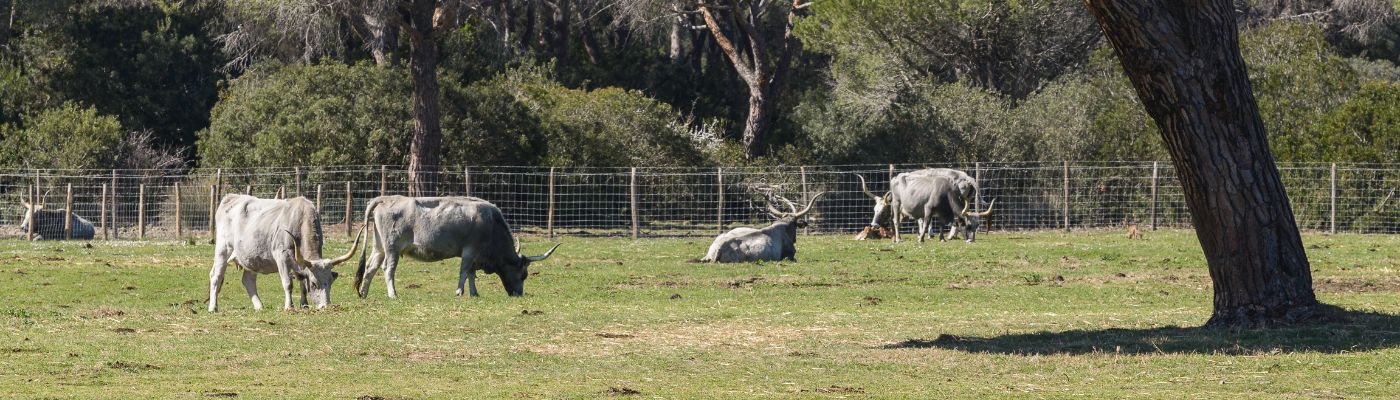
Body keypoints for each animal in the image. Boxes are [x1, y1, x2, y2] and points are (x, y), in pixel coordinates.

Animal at [207, 194, 364, 311]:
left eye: (331, 281)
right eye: (314, 284)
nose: (325, 306)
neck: (300, 220)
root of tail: (231, 197)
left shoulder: (299, 263)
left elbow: (302, 283)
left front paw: (304, 305)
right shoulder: (281, 257)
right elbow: (288, 283)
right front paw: (289, 306)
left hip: (251, 258)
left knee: (248, 280)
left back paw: (259, 306)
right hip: (223, 249)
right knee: (216, 276)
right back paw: (213, 307)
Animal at [352, 195, 560, 297]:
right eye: (523, 275)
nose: (518, 294)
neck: (491, 223)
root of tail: (386, 198)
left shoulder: (474, 255)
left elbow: (471, 274)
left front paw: (474, 293)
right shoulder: (470, 251)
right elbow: (464, 271)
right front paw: (460, 291)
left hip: (379, 247)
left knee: (370, 267)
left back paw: (364, 293)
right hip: (392, 249)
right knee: (388, 269)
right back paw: (393, 294)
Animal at [851, 170, 996, 241]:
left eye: (882, 211)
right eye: (874, 209)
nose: (873, 225)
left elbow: (925, 222)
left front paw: (925, 236)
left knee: (896, 221)